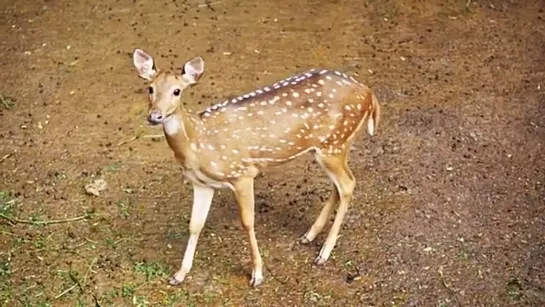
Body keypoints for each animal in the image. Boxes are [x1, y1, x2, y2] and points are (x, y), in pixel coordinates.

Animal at [131, 48, 378, 288]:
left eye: (177, 91)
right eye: (150, 88)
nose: (154, 116)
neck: (198, 143)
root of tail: (369, 94)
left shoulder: (242, 173)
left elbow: (248, 222)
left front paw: (257, 274)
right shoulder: (202, 184)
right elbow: (195, 225)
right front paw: (180, 274)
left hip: (334, 144)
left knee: (348, 184)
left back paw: (324, 253)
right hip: (334, 146)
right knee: (339, 185)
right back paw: (309, 235)